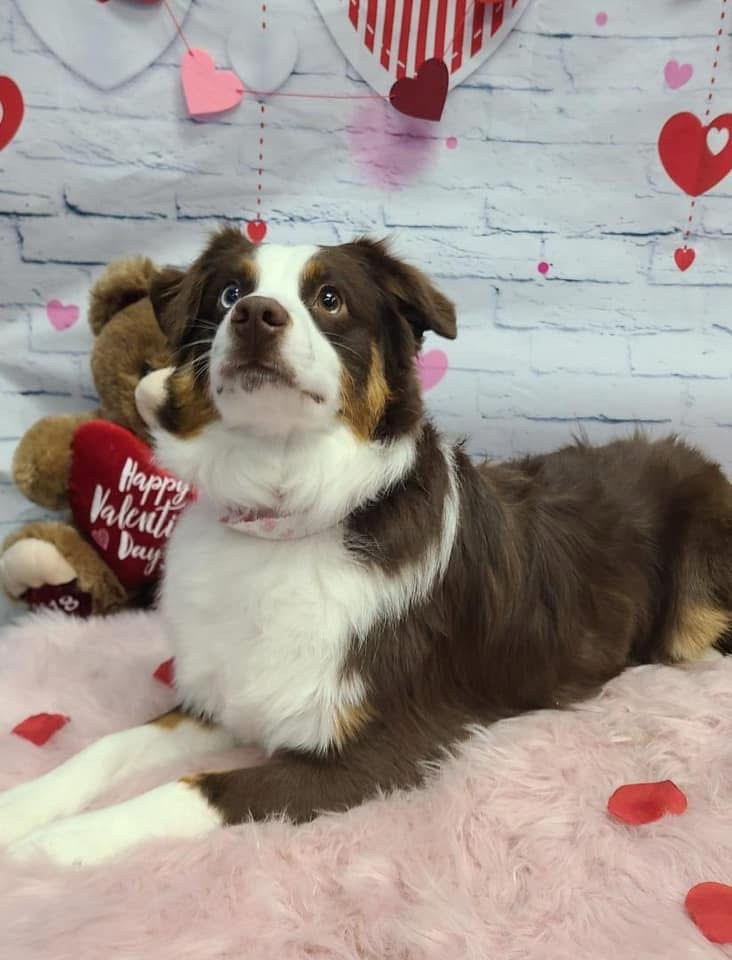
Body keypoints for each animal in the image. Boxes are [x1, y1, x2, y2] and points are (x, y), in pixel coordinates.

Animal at [2, 228, 732, 866]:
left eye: (330, 299)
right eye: (230, 292)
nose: (255, 316)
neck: (287, 510)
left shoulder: (382, 749)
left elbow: (198, 787)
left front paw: (63, 842)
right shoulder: (226, 692)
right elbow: (108, 747)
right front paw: (24, 809)